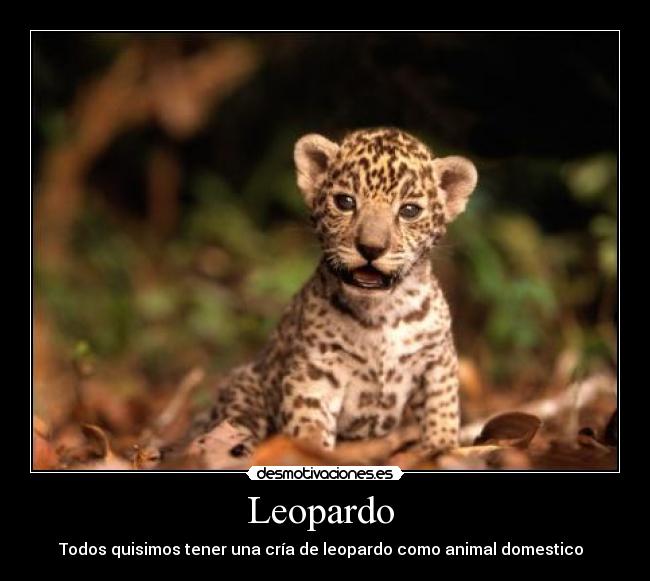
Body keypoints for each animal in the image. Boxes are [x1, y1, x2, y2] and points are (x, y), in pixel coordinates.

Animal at [193, 127, 478, 460]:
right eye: (345, 202)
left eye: (409, 211)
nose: (371, 248)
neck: (382, 313)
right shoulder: (317, 368)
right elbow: (309, 420)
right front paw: (313, 453)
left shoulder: (436, 361)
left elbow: (442, 408)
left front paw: (442, 448)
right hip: (242, 390)